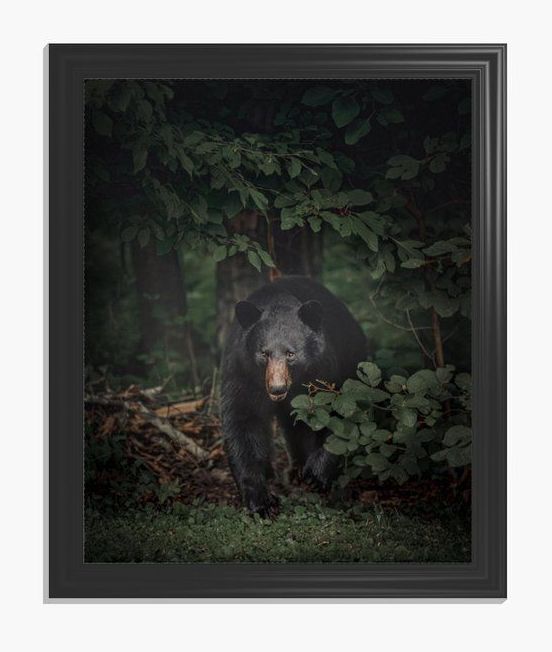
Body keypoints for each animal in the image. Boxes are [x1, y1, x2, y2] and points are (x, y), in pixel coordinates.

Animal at [220, 275, 367, 517]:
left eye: (291, 353)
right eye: (264, 353)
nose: (277, 388)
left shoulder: (325, 368)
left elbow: (339, 409)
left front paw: (316, 474)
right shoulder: (242, 371)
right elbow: (243, 421)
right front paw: (260, 501)